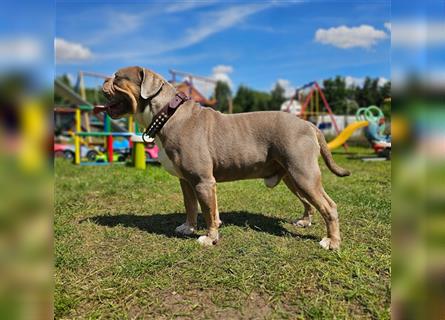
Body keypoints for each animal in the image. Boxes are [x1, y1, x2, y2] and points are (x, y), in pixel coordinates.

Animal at [98, 65, 350, 250]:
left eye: (117, 77)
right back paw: (305, 222)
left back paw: (332, 242)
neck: (166, 113)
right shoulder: (187, 181)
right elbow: (192, 207)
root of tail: (308, 124)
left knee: (329, 206)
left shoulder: (203, 181)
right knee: (308, 202)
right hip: (293, 177)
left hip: (304, 174)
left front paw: (209, 238)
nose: (103, 81)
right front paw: (188, 228)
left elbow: (207, 212)